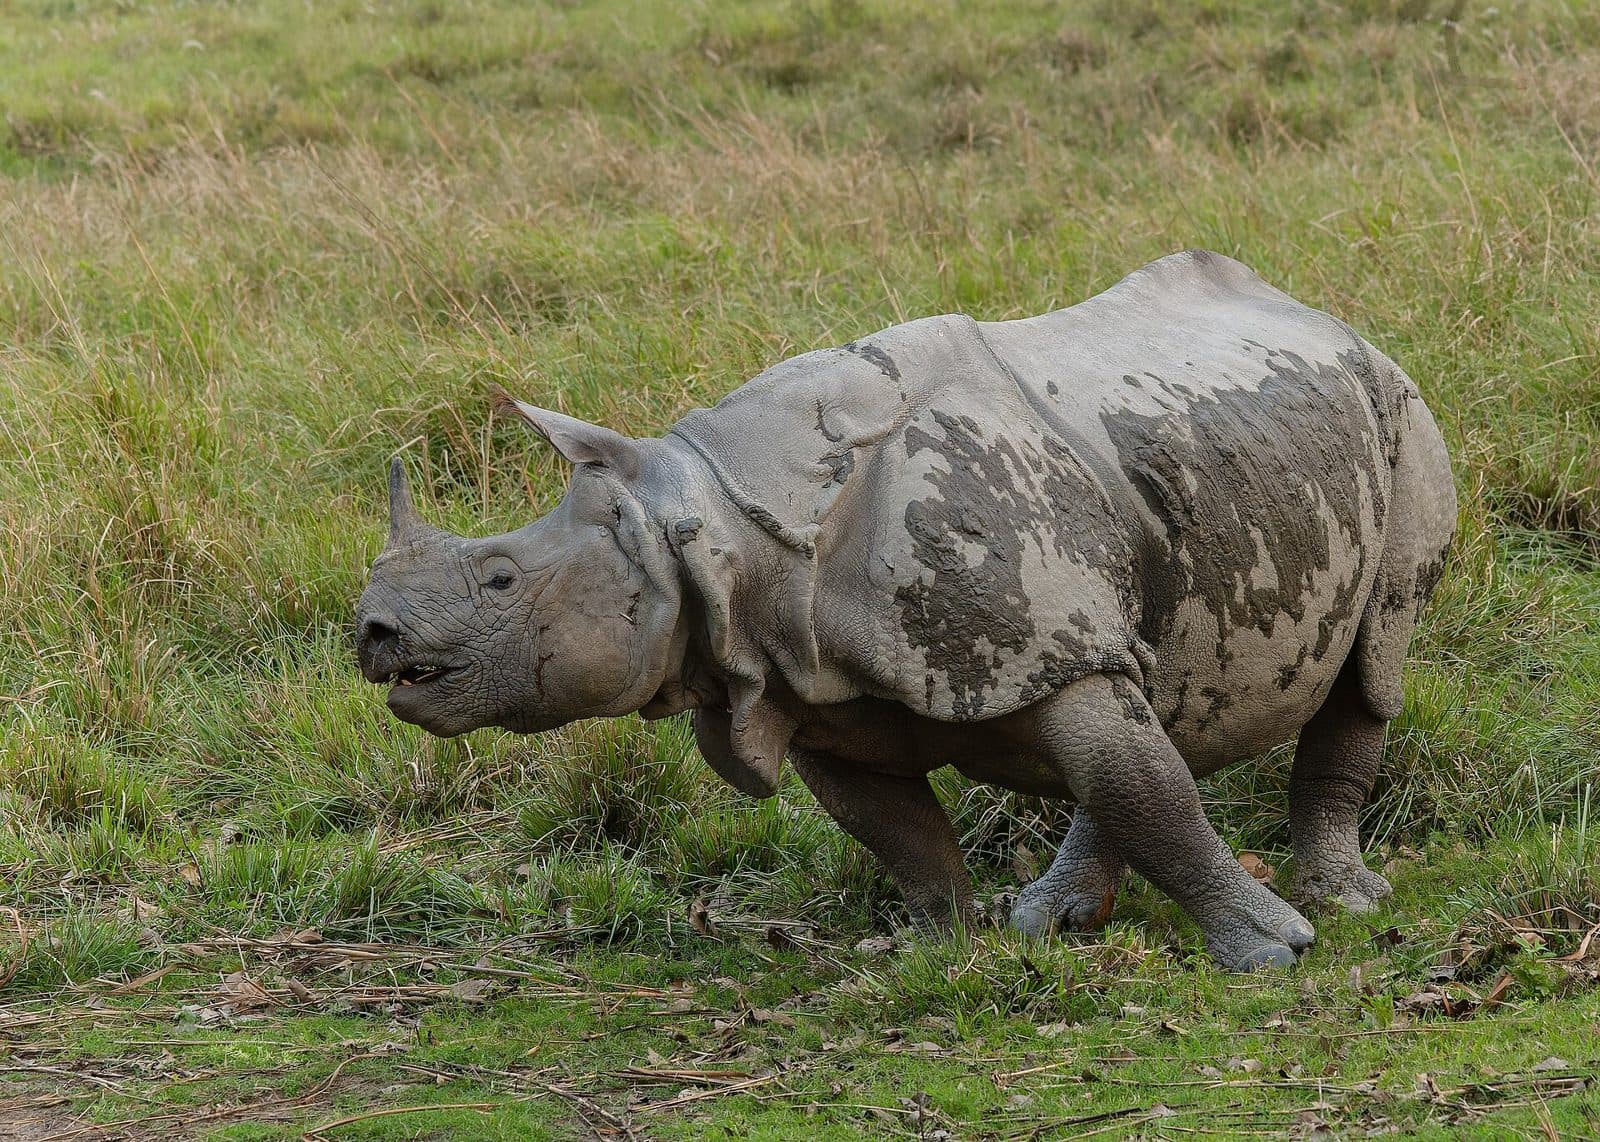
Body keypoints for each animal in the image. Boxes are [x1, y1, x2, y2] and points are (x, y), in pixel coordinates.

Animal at [356, 251, 1455, 971]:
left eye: (503, 578)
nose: (373, 634)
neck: (716, 526)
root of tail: (1326, 314)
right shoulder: (811, 688)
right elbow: (898, 830)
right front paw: (940, 952)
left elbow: (1152, 792)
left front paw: (1276, 954)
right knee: (1134, 690)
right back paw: (1055, 922)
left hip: (1401, 407)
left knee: (1366, 665)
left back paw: (1342, 903)